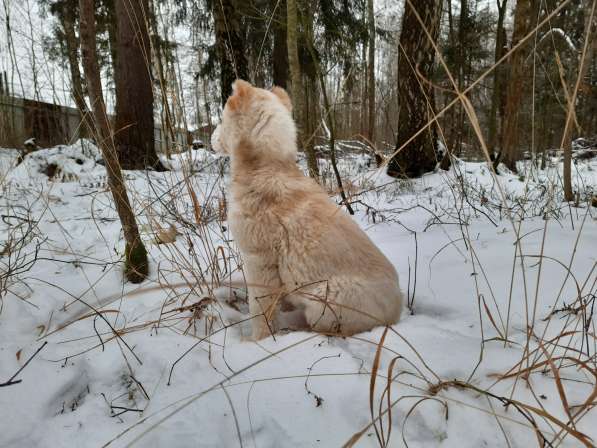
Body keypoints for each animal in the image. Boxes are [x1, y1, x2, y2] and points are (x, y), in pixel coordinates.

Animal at [210, 80, 400, 340]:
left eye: (221, 118)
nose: (210, 137)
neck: (268, 165)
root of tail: (398, 312)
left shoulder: (258, 261)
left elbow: (261, 310)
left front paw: (258, 341)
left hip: (323, 301)